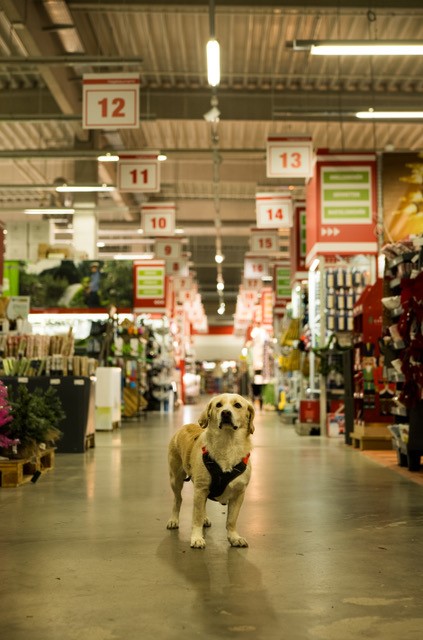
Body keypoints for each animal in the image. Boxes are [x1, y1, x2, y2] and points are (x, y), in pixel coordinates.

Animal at [166, 392, 255, 548]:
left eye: (237, 405)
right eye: (218, 405)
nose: (225, 413)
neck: (227, 443)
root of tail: (185, 425)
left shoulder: (239, 493)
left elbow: (231, 519)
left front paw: (234, 537)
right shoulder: (200, 489)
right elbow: (196, 517)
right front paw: (196, 537)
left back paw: (205, 518)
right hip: (175, 479)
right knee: (178, 499)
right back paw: (174, 519)